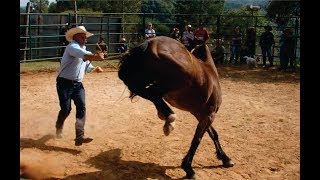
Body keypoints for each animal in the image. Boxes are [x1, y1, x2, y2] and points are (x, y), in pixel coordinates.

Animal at [117, 35, 232, 179]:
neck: (210, 71)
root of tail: (151, 43)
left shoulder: (201, 114)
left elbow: (213, 134)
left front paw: (225, 158)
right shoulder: (209, 115)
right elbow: (197, 139)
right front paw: (189, 169)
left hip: (141, 80)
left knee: (144, 91)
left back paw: (166, 116)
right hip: (171, 84)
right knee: (153, 93)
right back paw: (169, 118)